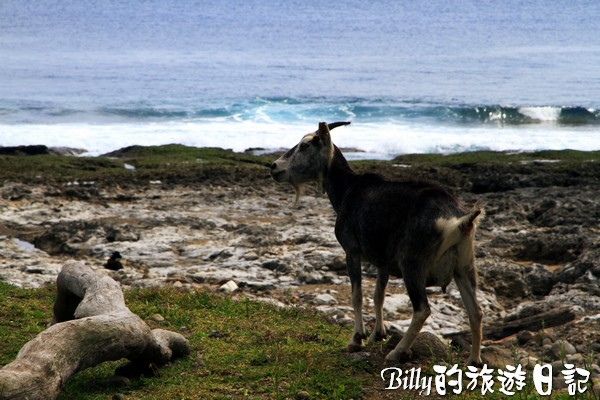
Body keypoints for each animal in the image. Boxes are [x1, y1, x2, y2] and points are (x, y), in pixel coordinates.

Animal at [270, 122, 486, 366]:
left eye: (305, 145)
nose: (274, 166)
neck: (348, 190)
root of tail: (460, 220)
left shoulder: (352, 250)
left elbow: (357, 294)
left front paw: (357, 339)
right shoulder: (384, 261)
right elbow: (378, 296)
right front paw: (377, 334)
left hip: (413, 262)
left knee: (422, 309)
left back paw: (397, 352)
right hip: (464, 266)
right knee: (476, 311)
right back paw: (474, 361)